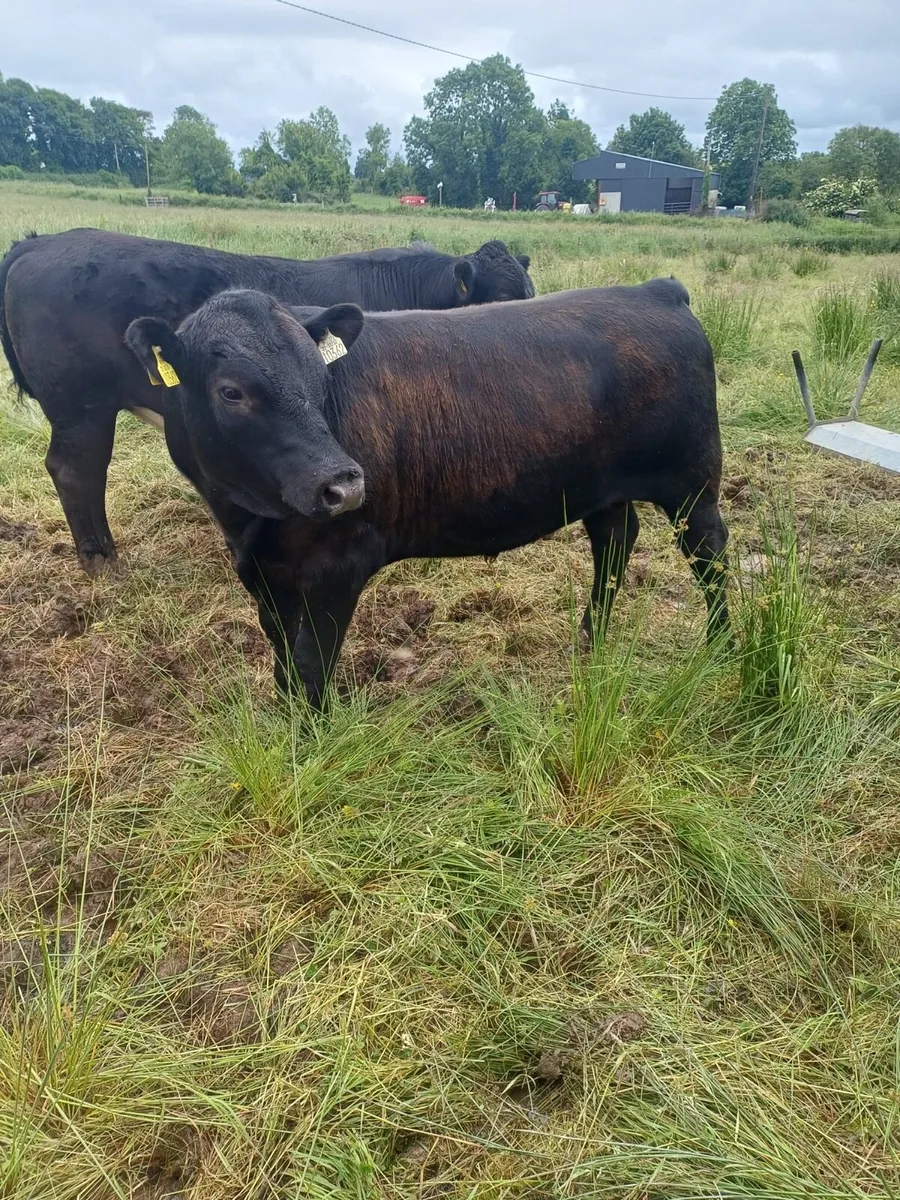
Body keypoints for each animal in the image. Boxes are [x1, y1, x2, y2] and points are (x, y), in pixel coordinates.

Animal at [123, 281, 731, 710]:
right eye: (231, 392)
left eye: (319, 378)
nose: (343, 484)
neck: (248, 521)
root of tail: (654, 290)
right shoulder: (268, 579)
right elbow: (283, 664)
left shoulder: (338, 567)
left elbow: (312, 669)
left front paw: (309, 746)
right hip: (601, 490)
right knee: (616, 540)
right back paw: (592, 638)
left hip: (692, 483)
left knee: (709, 552)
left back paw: (720, 645)